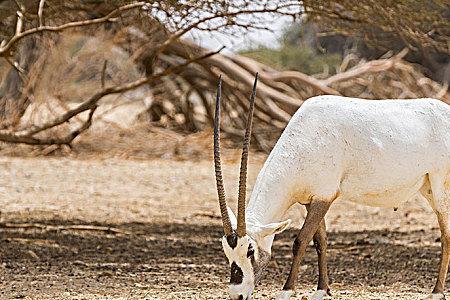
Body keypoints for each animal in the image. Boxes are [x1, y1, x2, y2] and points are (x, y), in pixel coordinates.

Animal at [213, 73, 450, 300]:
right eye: (226, 251)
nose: (237, 295)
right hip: (427, 187)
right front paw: (322, 290)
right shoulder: (312, 200)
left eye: (250, 250)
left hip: (441, 187)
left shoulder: (324, 197)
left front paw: (286, 291)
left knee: (446, 234)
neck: (304, 138)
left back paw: (437, 291)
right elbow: (321, 242)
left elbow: (300, 241)